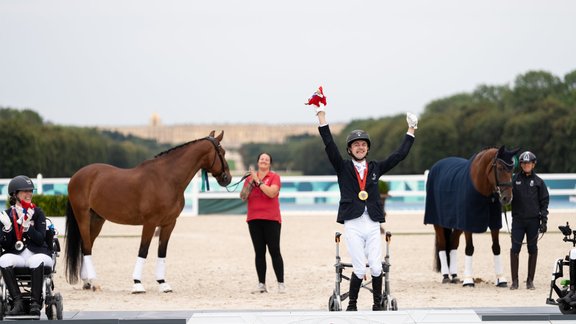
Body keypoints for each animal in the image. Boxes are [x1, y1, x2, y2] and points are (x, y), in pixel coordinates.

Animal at [64, 130, 231, 292]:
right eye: (222, 152)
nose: (227, 178)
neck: (166, 179)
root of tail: (76, 176)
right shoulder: (150, 223)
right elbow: (143, 251)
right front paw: (137, 284)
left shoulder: (169, 224)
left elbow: (162, 252)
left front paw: (163, 283)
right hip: (83, 217)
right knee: (86, 247)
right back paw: (94, 282)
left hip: (97, 219)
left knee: (86, 246)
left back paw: (87, 282)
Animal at [424, 146, 516, 288]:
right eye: (500, 168)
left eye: (512, 170)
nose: (507, 198)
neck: (481, 190)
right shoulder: (468, 224)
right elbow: (469, 249)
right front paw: (468, 280)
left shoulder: (494, 224)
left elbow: (496, 248)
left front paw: (501, 279)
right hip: (438, 224)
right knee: (443, 245)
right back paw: (446, 277)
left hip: (457, 226)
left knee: (453, 244)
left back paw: (454, 276)